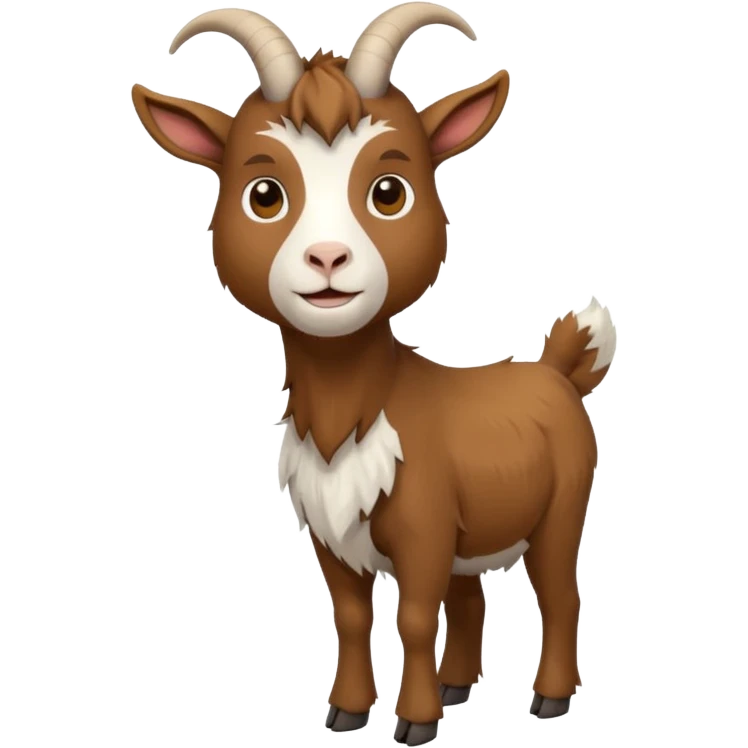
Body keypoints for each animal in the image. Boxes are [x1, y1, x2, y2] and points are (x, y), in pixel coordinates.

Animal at [130, 3, 614, 744]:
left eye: (390, 191)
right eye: (263, 194)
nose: (327, 258)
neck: (351, 415)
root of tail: (556, 371)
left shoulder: (423, 527)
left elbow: (413, 618)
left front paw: (412, 723)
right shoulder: (331, 535)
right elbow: (354, 618)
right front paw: (348, 711)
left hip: (561, 509)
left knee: (560, 595)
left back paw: (549, 698)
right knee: (469, 598)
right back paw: (454, 686)